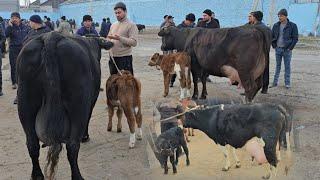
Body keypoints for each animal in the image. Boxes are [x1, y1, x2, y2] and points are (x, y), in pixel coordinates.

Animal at [17, 31, 114, 179]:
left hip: (25, 104)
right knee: (72, 146)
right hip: (78, 105)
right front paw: (85, 136)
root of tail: (50, 37)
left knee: (32, 144)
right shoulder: (91, 101)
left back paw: (37, 175)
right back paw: (77, 176)